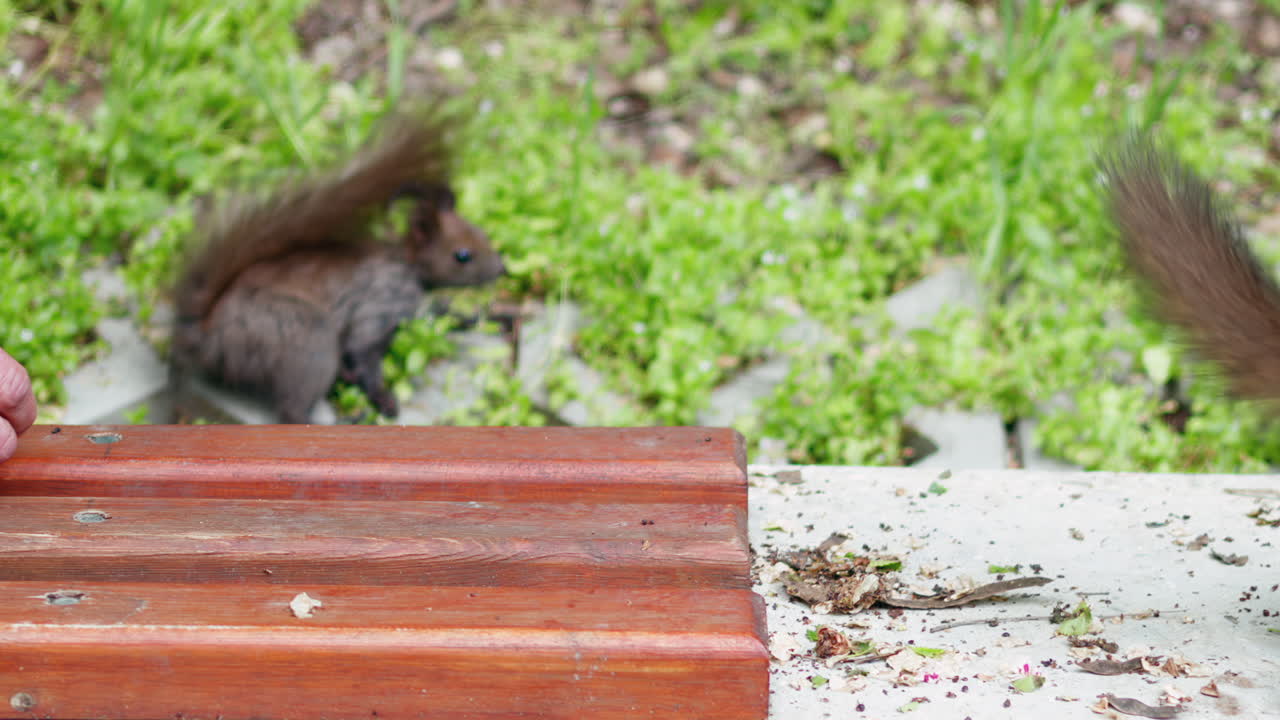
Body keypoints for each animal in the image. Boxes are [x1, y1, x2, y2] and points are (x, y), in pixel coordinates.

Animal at [169, 104, 506, 424]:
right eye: (462, 255)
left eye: (482, 233)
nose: (502, 269)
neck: (408, 266)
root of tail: (207, 335)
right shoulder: (380, 305)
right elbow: (363, 351)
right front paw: (384, 400)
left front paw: (469, 316)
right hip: (307, 339)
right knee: (291, 412)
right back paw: (347, 419)